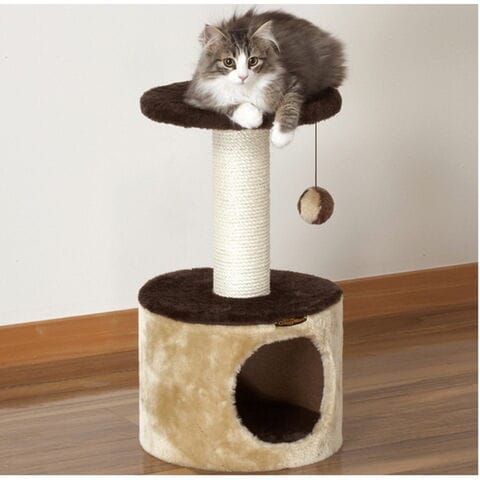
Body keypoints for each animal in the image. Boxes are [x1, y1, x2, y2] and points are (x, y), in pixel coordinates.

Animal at [184, 9, 345, 147]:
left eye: (253, 61)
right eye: (228, 62)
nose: (243, 76)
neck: (246, 89)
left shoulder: (293, 82)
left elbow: (289, 106)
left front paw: (281, 136)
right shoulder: (198, 96)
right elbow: (226, 105)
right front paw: (252, 116)